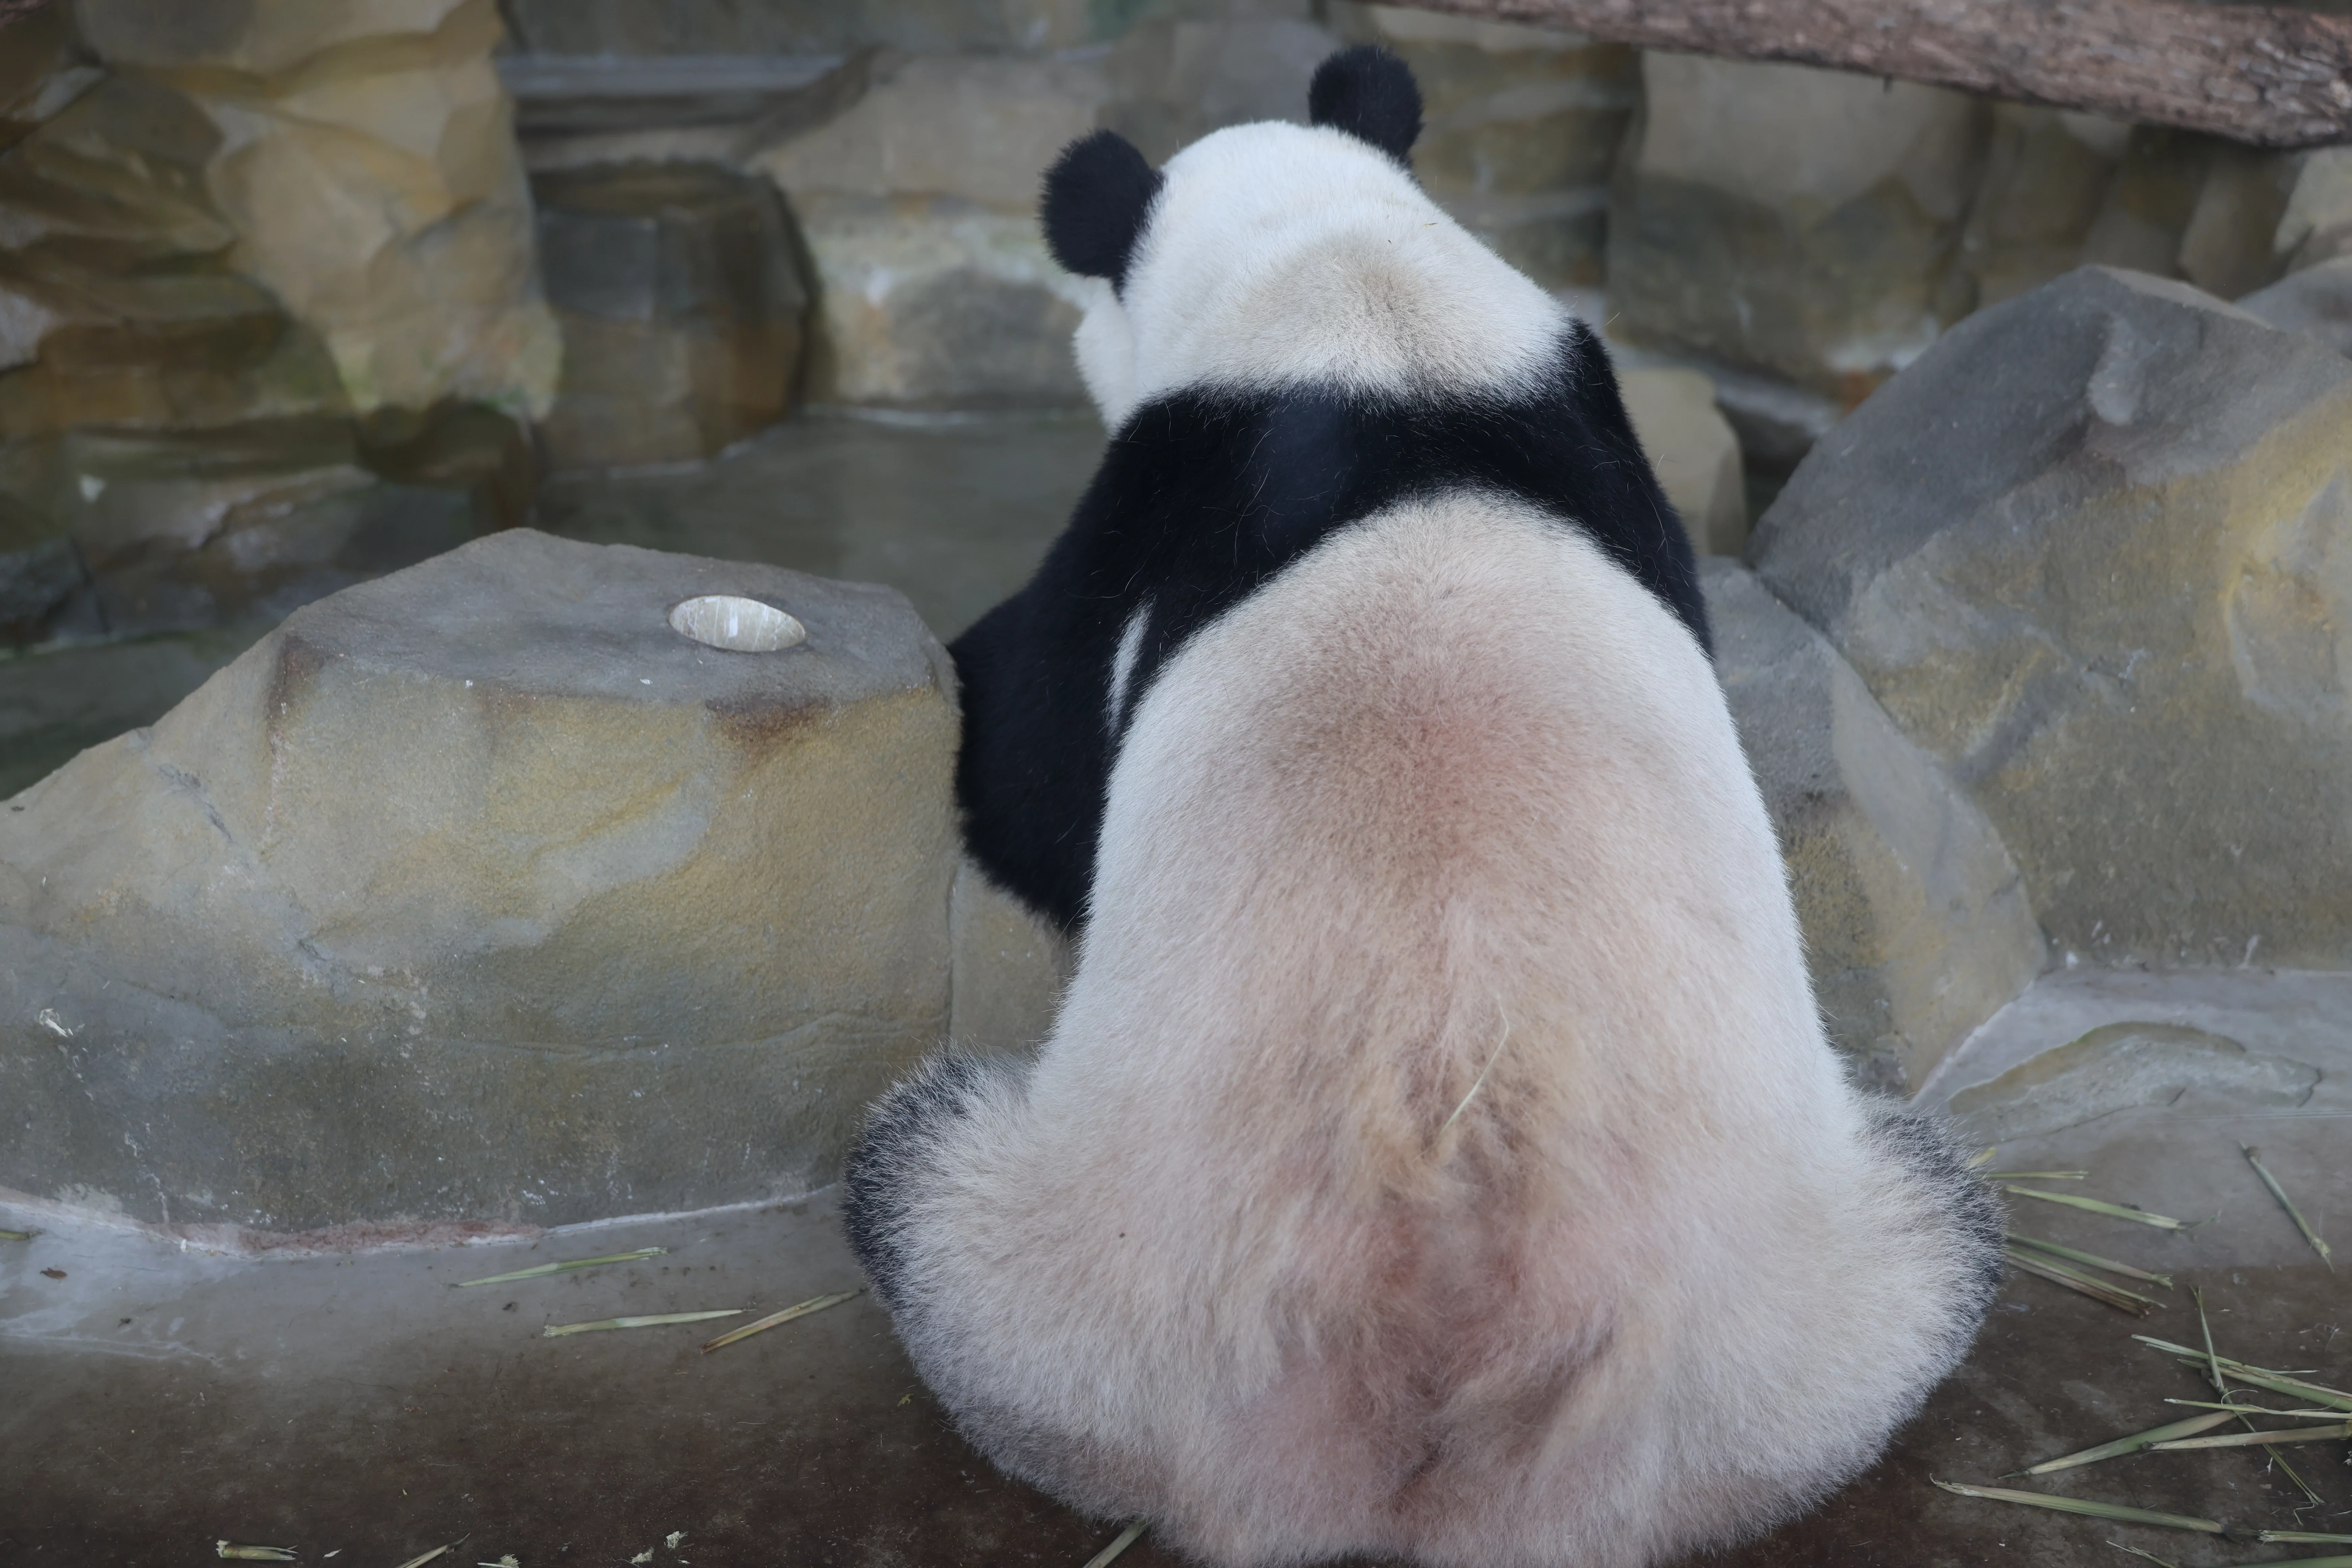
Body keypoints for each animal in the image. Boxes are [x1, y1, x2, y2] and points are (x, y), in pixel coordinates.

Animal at [844, 45, 1999, 1568]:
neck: (1354, 296)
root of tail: (1450, 1285)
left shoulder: (1168, 494)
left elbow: (1034, 764)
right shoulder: (1593, 430)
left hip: (1098, 1292)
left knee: (920, 1184)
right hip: (1776, 1343)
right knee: (1931, 1255)